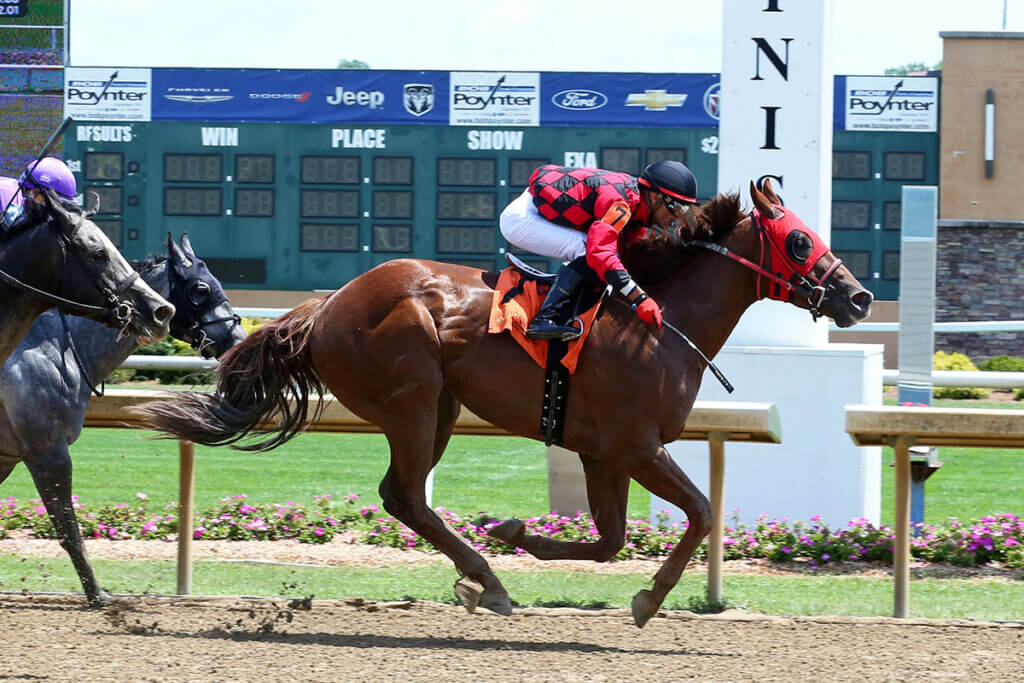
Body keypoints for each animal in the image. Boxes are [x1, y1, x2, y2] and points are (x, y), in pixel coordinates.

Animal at [0, 233, 246, 602]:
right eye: (201, 288)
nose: (237, 340)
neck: (55, 348)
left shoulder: (9, 456)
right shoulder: (47, 452)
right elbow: (68, 529)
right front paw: (97, 594)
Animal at [136, 180, 872, 626]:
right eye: (801, 240)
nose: (860, 297)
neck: (662, 326)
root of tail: (327, 305)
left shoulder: (602, 450)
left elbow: (609, 539)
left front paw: (521, 533)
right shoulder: (638, 445)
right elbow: (699, 511)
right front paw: (646, 599)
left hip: (440, 409)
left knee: (405, 497)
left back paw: (484, 574)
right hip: (413, 400)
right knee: (406, 495)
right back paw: (487, 580)